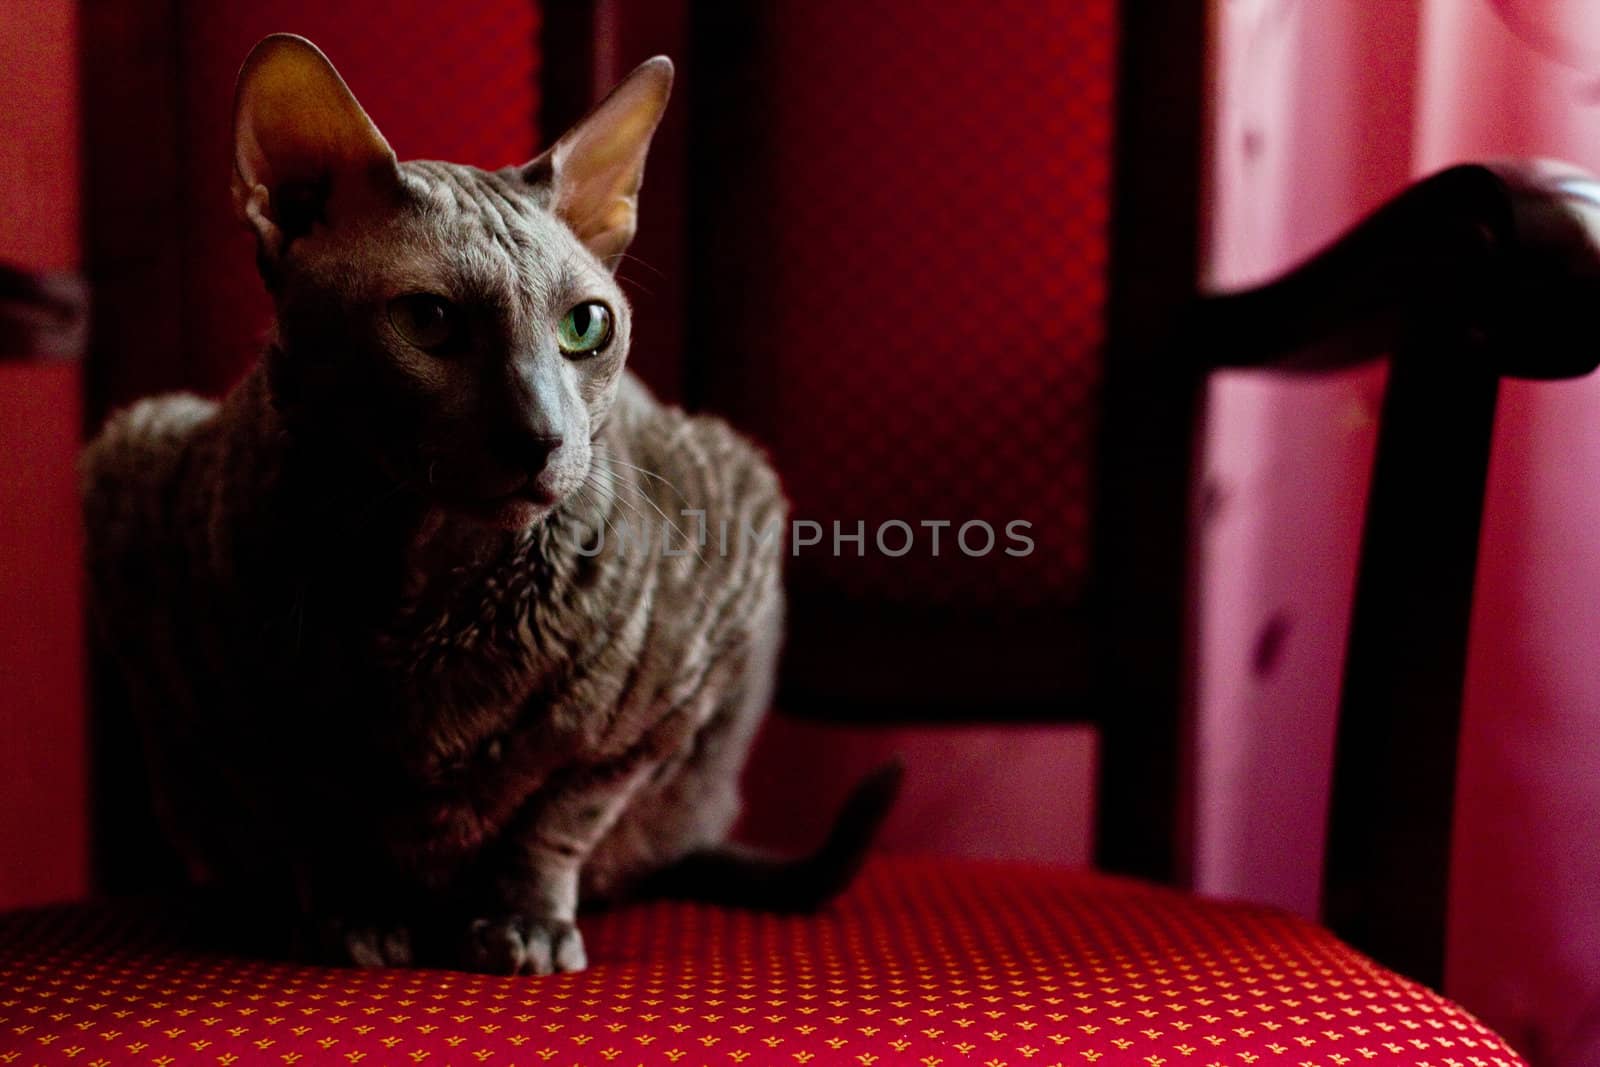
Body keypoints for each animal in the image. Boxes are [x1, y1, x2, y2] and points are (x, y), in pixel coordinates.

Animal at [84, 35, 902, 979]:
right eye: (429, 320)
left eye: (587, 326)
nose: (541, 435)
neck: (421, 578)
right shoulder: (223, 713)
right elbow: (313, 821)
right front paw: (351, 919)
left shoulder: (652, 720)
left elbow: (555, 821)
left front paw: (526, 923)